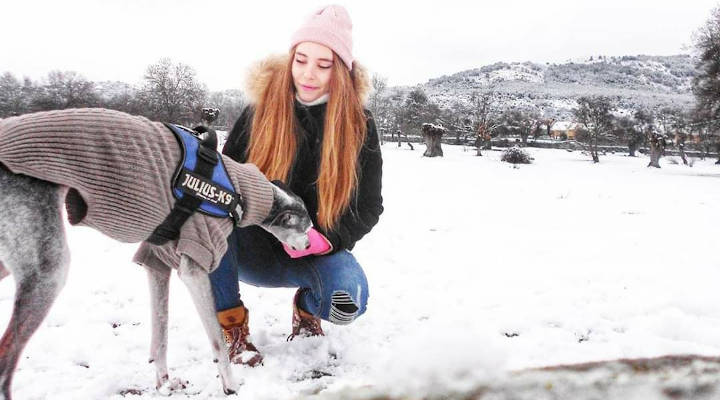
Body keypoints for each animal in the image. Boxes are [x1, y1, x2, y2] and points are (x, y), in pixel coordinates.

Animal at [0, 108, 312, 398]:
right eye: (306, 228)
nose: (310, 247)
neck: (238, 191)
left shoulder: (157, 263)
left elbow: (160, 336)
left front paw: (164, 384)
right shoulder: (195, 266)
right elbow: (216, 343)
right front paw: (231, 386)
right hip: (48, 269)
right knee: (5, 365)